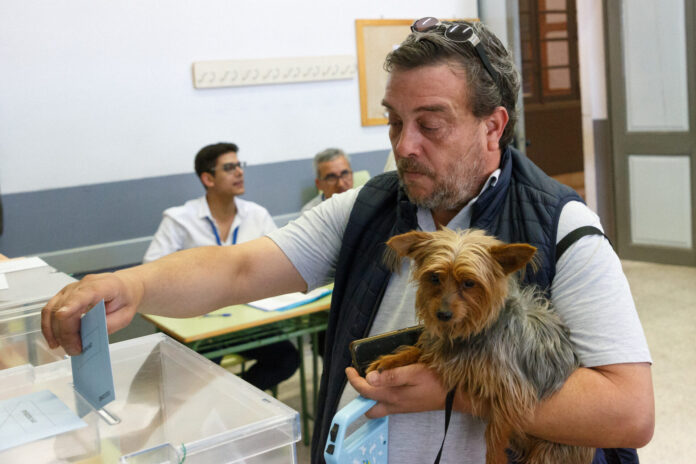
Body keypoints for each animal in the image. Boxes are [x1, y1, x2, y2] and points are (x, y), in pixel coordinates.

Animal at [370, 228, 592, 464]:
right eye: (434, 277)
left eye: (469, 283)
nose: (442, 314)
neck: (469, 332)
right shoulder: (442, 352)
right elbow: (419, 351)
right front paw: (390, 360)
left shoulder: (514, 391)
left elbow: (495, 434)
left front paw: (494, 457)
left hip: (550, 450)